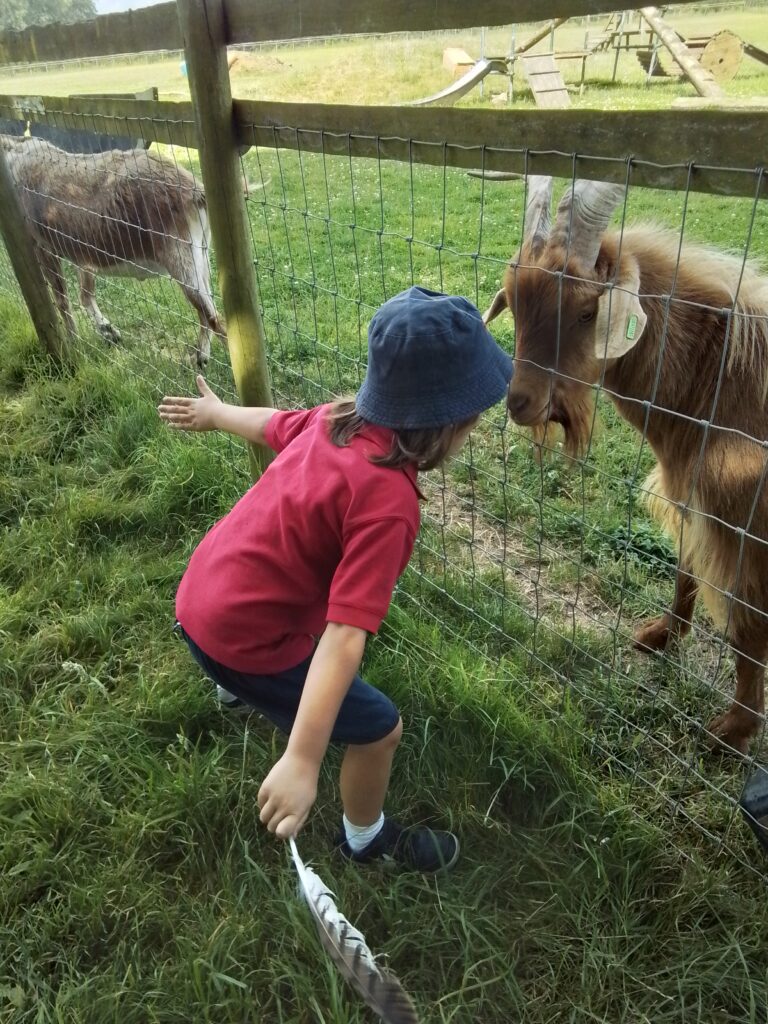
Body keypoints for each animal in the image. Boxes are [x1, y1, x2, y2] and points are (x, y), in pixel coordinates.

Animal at [1, 134, 225, 362]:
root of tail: (196, 192)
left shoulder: (43, 247)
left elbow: (63, 300)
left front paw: (73, 342)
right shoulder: (83, 257)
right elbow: (85, 295)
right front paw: (109, 332)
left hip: (180, 256)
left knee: (215, 319)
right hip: (200, 255)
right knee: (208, 311)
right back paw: (201, 357)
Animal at [487, 174, 768, 753]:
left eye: (586, 312)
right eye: (517, 304)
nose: (521, 402)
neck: (726, 379)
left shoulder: (744, 532)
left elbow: (750, 629)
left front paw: (733, 731)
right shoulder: (690, 499)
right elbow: (685, 568)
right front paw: (661, 635)